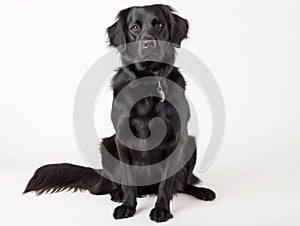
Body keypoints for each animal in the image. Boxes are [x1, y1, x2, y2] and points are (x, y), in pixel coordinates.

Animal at [24, 4, 216, 223]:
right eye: (135, 28)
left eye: (159, 24)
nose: (148, 44)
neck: (148, 82)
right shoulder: (122, 138)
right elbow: (129, 178)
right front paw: (128, 206)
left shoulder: (176, 138)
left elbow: (166, 183)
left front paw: (161, 209)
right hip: (108, 145)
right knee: (112, 185)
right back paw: (118, 194)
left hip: (190, 143)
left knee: (183, 183)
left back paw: (201, 191)